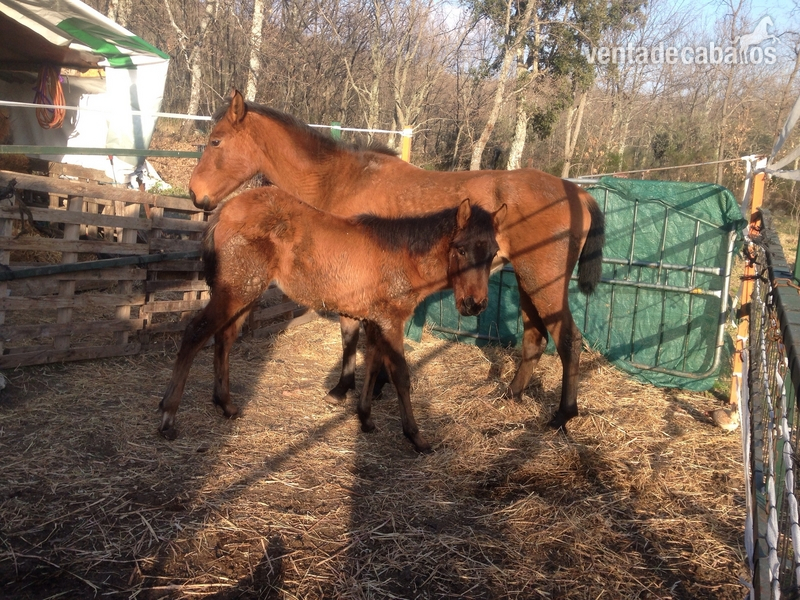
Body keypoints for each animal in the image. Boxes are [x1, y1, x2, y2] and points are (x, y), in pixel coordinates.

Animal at [158, 187, 504, 453]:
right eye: (460, 249)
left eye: (493, 252)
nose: (474, 304)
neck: (403, 256)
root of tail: (225, 209)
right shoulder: (390, 321)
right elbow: (401, 375)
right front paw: (415, 436)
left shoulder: (373, 320)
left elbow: (373, 366)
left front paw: (365, 418)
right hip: (237, 290)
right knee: (195, 333)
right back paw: (168, 417)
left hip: (246, 293)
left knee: (224, 338)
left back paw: (226, 404)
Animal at [188, 89, 605, 431]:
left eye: (215, 141)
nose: (195, 193)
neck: (344, 178)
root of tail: (576, 192)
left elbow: (349, 334)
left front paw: (346, 388)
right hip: (527, 281)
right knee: (535, 338)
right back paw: (511, 395)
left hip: (542, 282)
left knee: (568, 341)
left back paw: (562, 415)